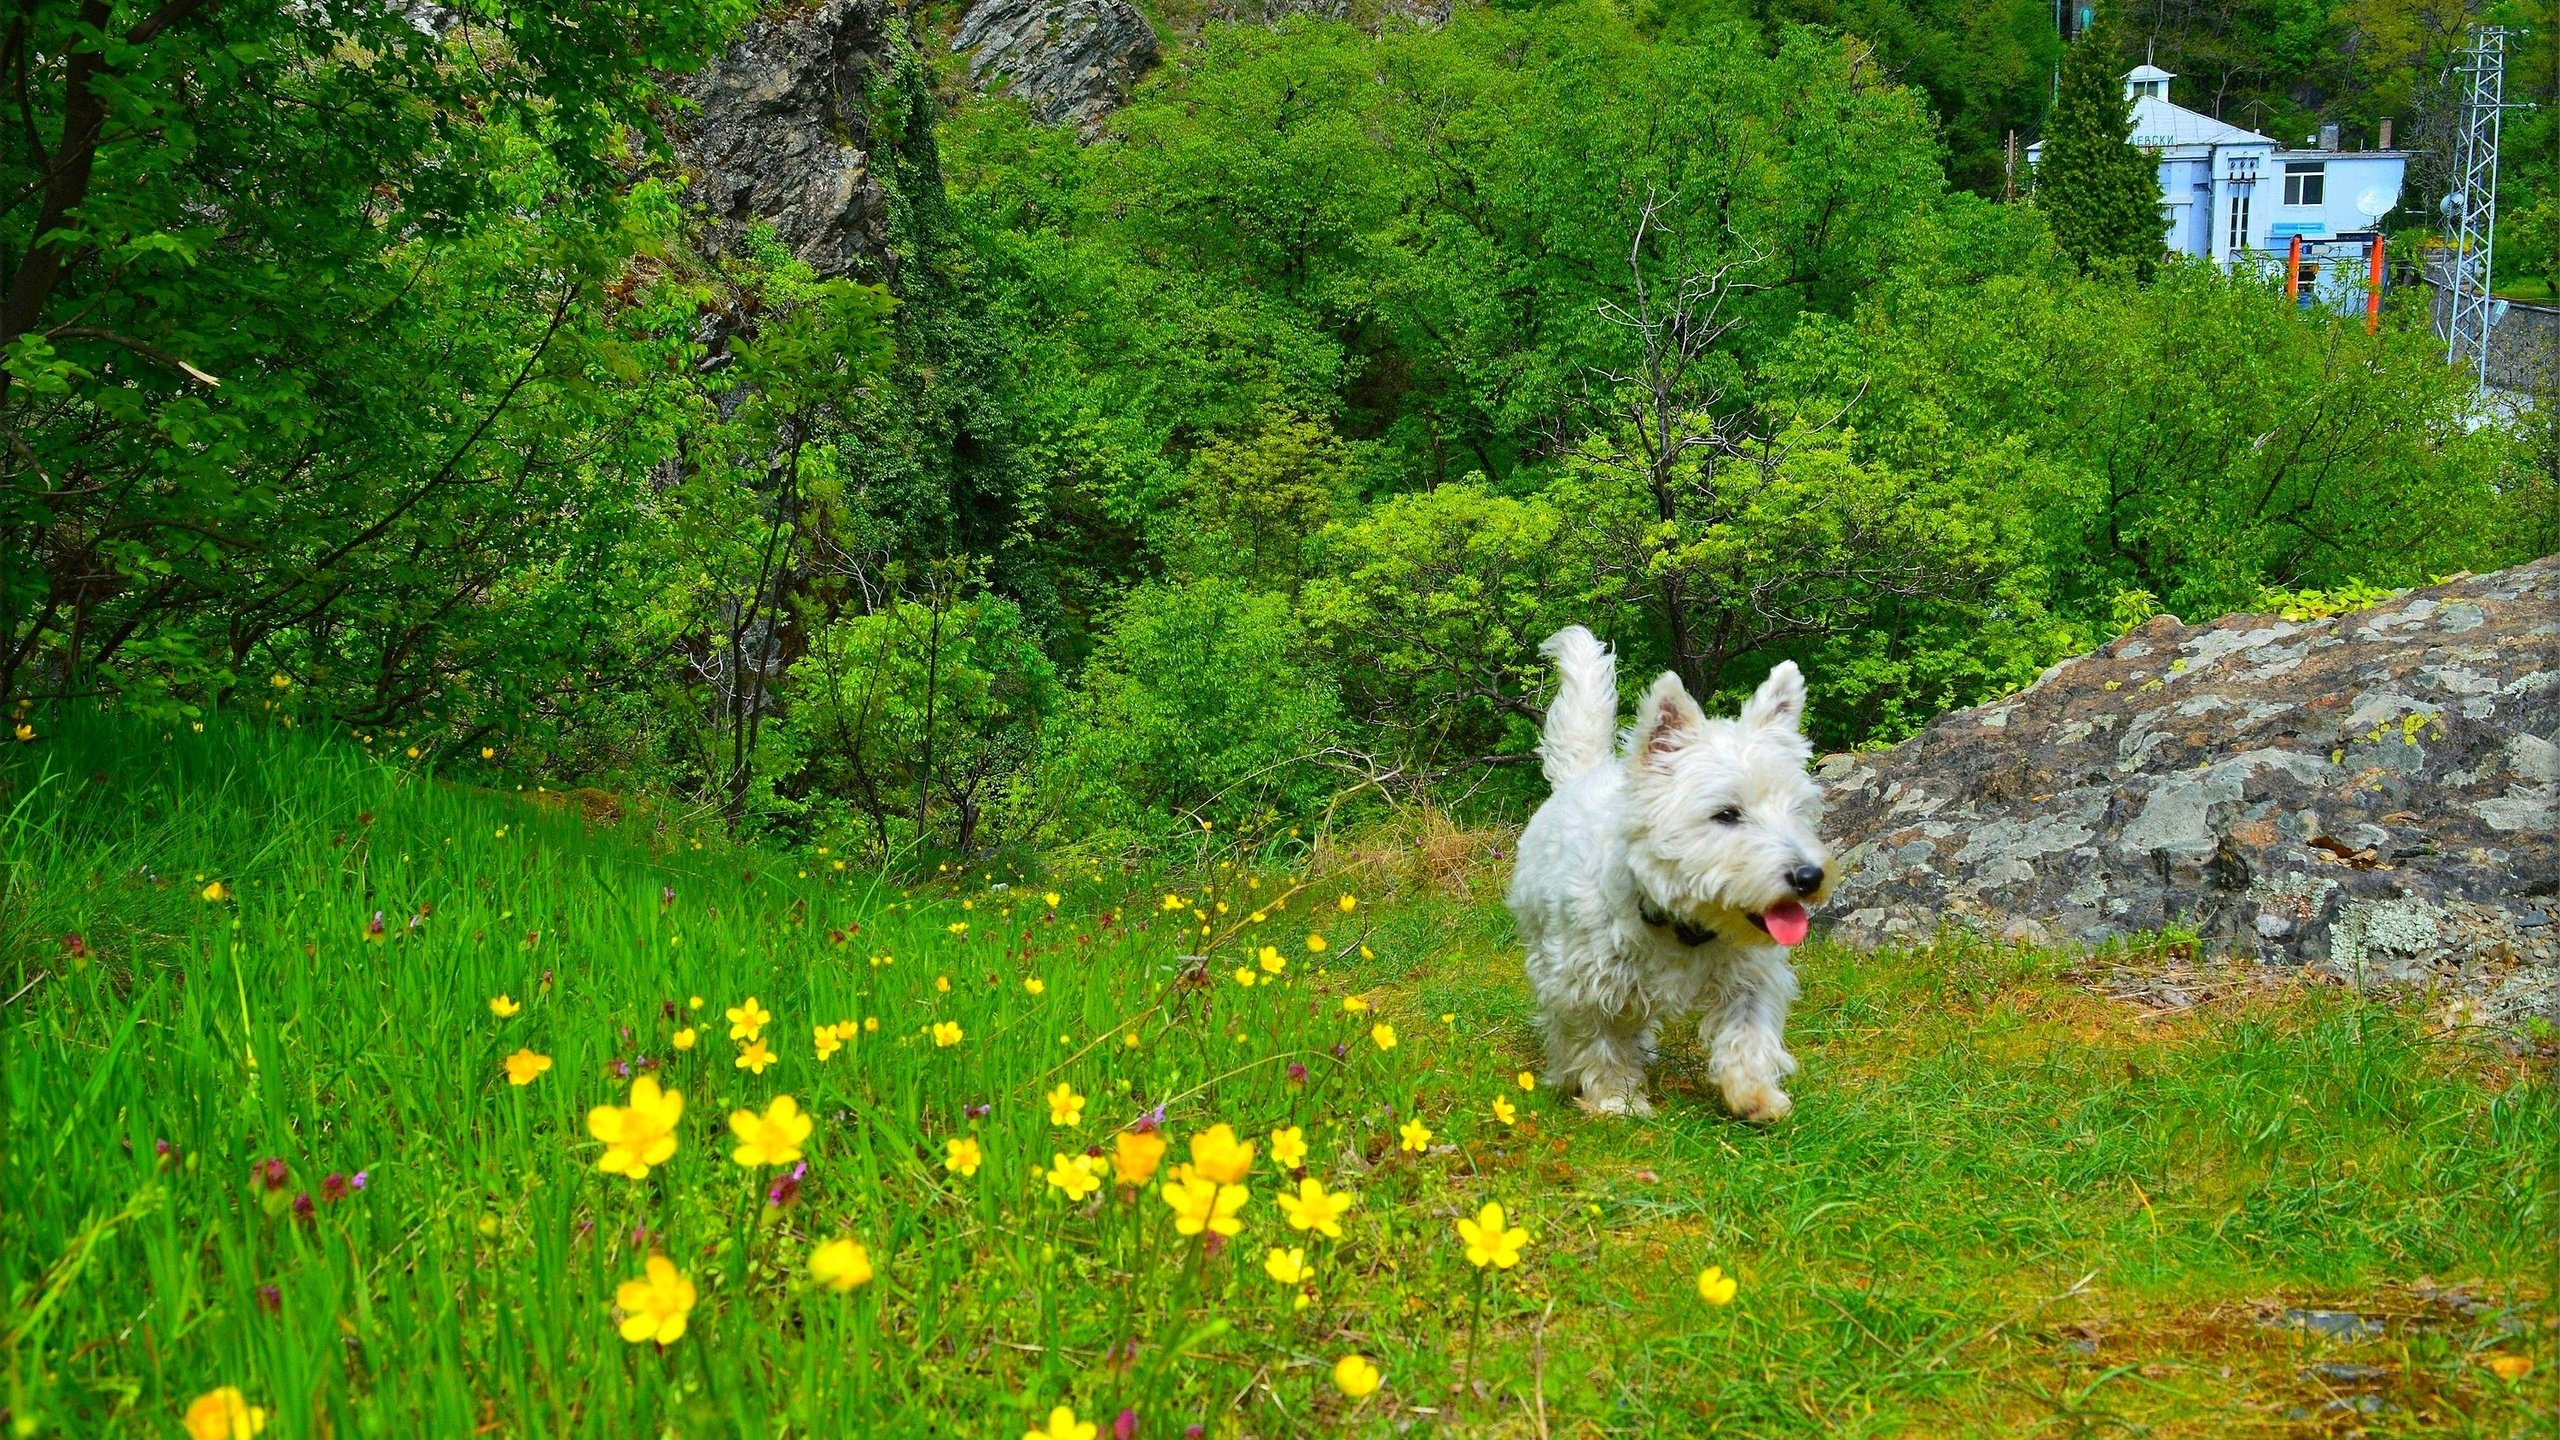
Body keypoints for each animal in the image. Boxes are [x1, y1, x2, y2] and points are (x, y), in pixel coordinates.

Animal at [1505, 627, 1832, 1122]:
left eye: (1797, 810)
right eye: (1726, 814)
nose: (1809, 877)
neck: (1682, 925)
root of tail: (1583, 774)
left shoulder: (1751, 977)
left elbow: (1748, 1031)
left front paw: (1755, 1094)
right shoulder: (1585, 983)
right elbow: (1600, 1043)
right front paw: (1617, 1101)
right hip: (1542, 943)